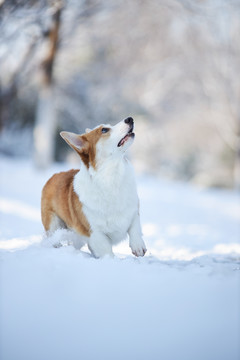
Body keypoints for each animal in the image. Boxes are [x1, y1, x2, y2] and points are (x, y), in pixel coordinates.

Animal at [41, 118, 146, 258]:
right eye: (104, 130)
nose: (130, 119)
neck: (111, 176)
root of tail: (53, 176)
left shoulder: (133, 210)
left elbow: (135, 228)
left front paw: (138, 247)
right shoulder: (94, 233)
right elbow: (107, 251)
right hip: (53, 225)